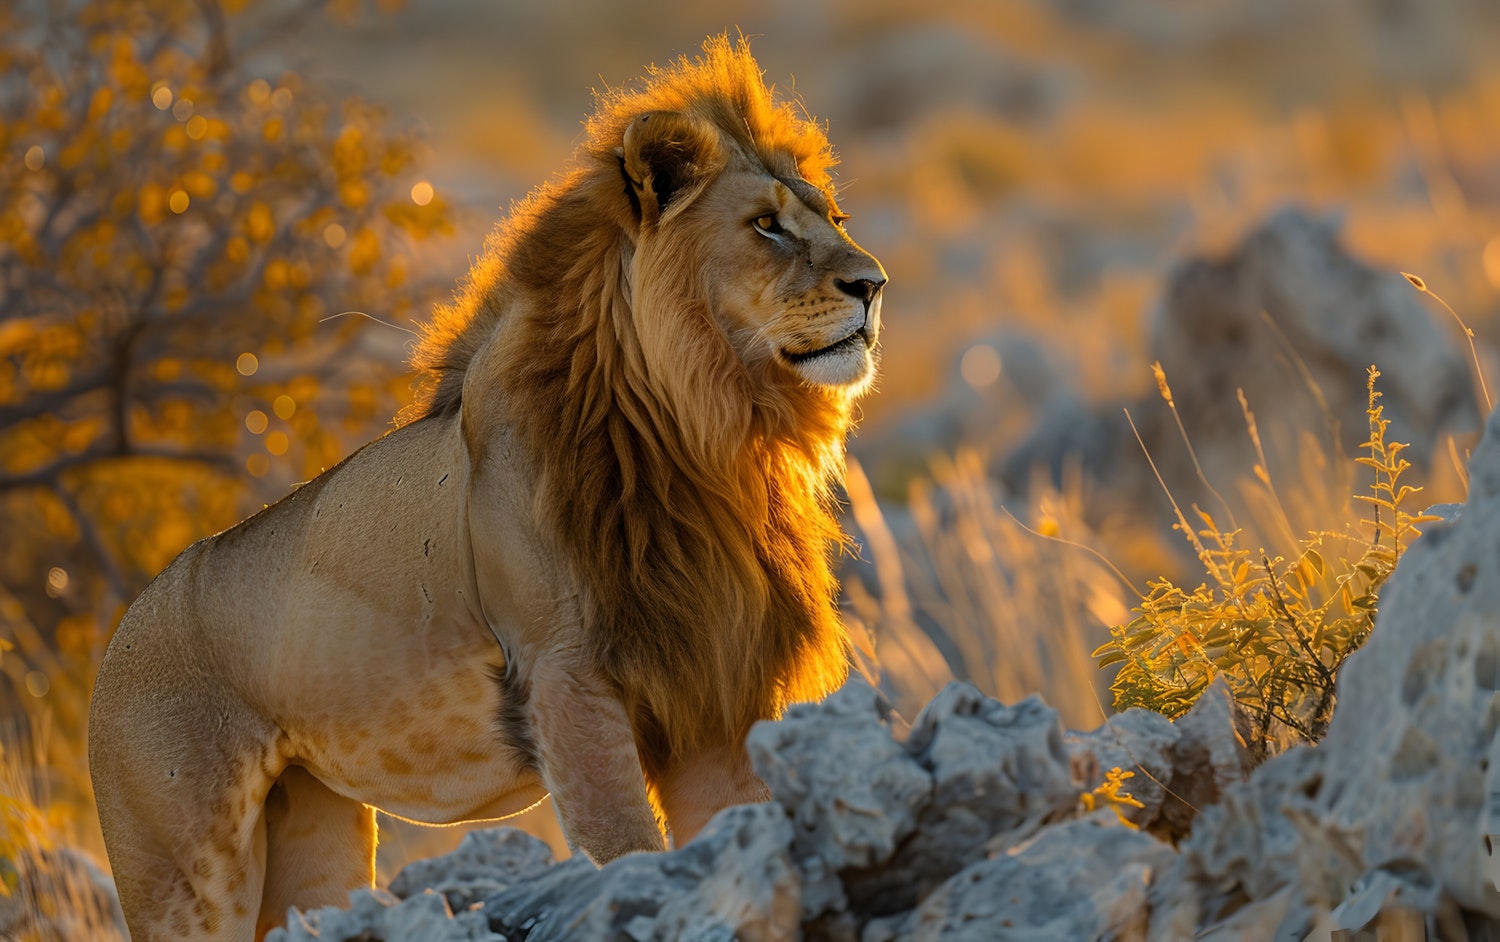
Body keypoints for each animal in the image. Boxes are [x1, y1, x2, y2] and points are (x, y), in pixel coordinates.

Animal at [87, 33, 882, 936]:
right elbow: (626, 848)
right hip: (182, 866)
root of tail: (116, 639)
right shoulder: (567, 680)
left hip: (314, 826)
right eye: (765, 226)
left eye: (835, 220)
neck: (713, 437)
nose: (873, 284)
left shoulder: (710, 689)